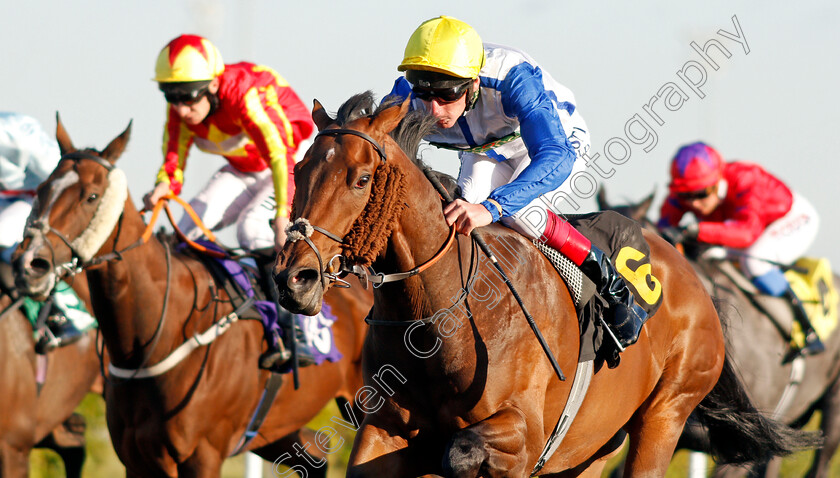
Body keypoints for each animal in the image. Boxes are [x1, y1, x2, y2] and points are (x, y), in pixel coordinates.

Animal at [12, 117, 374, 476]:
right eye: (41, 190)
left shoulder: (203, 455)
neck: (154, 338)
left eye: (91, 196)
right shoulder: (135, 458)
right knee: (315, 455)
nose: (29, 265)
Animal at [274, 91, 820, 476]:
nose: (293, 278)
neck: (439, 316)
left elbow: (461, 452)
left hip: (665, 415)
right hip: (595, 445)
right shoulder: (383, 429)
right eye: (299, 168)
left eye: (362, 179)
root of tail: (690, 273)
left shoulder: (524, 435)